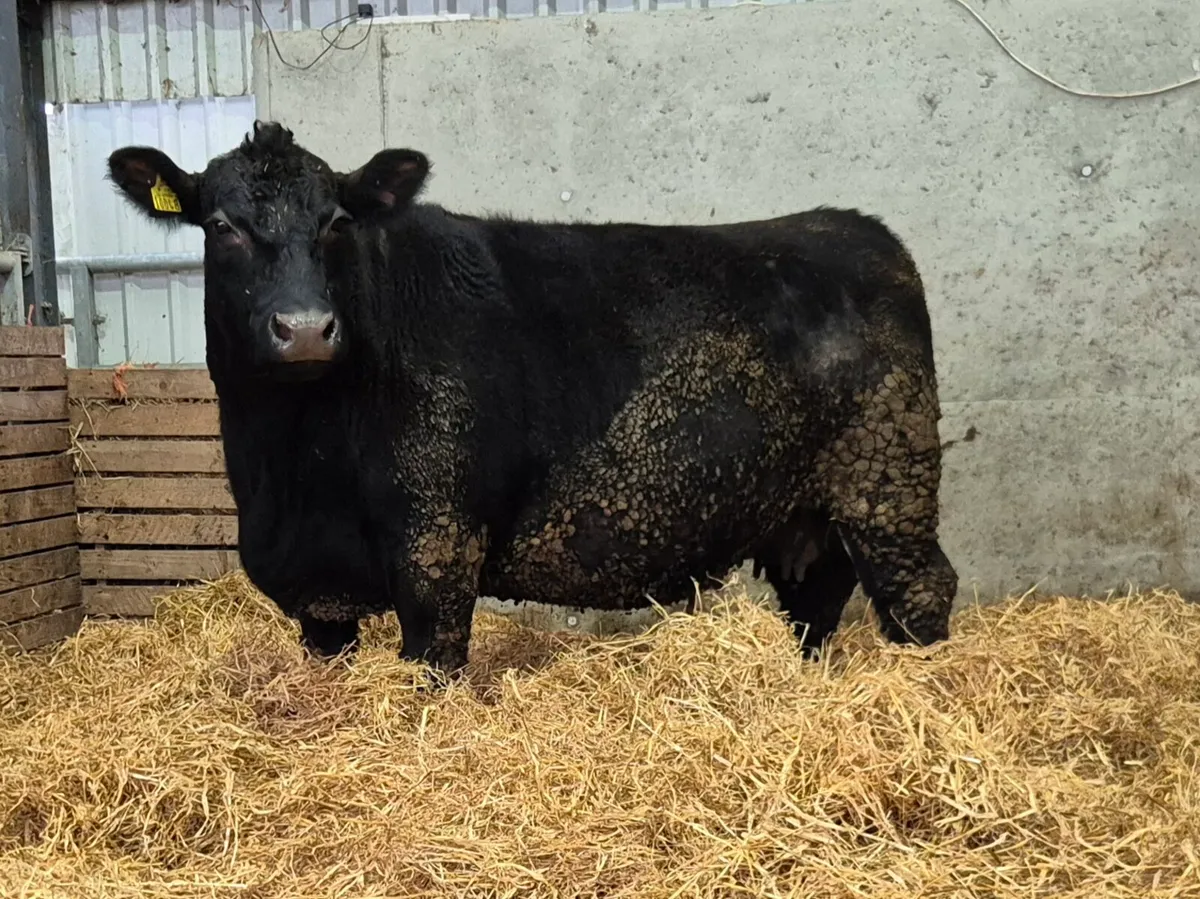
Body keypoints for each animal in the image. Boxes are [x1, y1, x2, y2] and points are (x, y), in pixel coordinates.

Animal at [105, 121, 959, 675]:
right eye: (221, 225)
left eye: (338, 221)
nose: (307, 328)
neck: (294, 467)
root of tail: (857, 229)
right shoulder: (318, 593)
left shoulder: (438, 550)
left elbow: (433, 667)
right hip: (808, 516)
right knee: (819, 601)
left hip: (889, 487)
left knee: (922, 590)